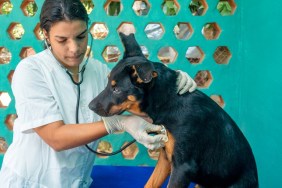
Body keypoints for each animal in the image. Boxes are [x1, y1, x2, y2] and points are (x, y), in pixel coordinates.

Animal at [89, 32, 258, 188]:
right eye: (108, 83)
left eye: (116, 89)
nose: (90, 106)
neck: (167, 102)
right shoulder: (165, 158)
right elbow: (150, 183)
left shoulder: (183, 168)